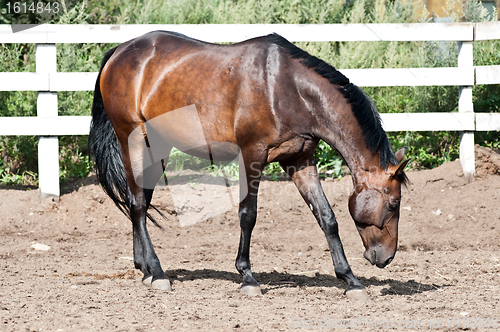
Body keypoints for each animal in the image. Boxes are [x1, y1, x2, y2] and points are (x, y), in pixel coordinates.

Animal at [90, 31, 410, 300]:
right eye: (394, 204)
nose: (386, 257)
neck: (289, 88)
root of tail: (120, 51)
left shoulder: (299, 161)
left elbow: (326, 217)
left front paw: (350, 280)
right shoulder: (252, 155)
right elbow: (248, 215)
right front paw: (247, 277)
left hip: (157, 144)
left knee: (140, 201)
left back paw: (144, 268)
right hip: (132, 139)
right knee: (137, 203)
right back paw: (157, 273)